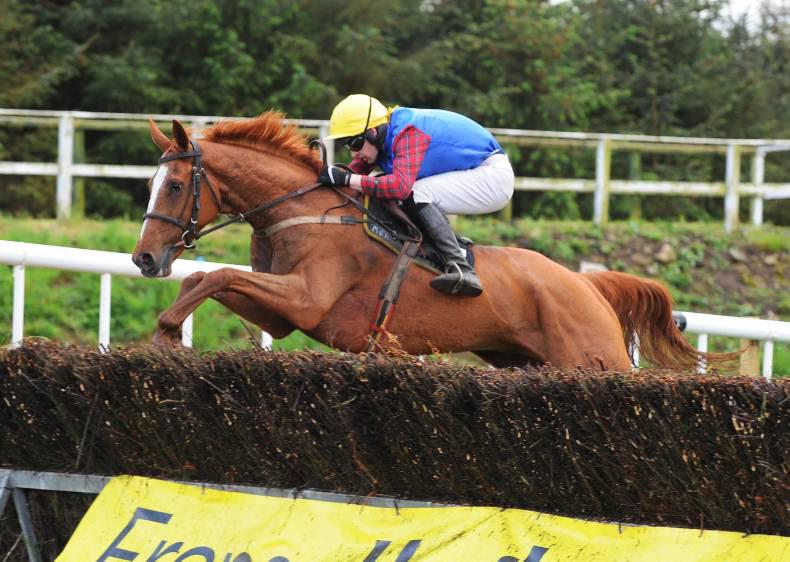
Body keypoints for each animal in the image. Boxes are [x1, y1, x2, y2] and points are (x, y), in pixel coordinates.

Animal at [132, 112, 732, 372]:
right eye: (150, 184)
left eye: (177, 185)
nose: (144, 257)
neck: (302, 210)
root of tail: (587, 286)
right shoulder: (282, 312)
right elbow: (212, 277)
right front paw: (167, 330)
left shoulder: (307, 299)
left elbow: (217, 272)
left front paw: (165, 331)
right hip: (524, 362)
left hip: (594, 360)